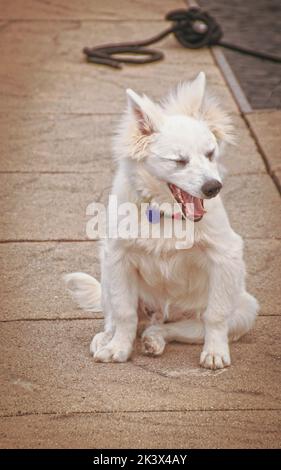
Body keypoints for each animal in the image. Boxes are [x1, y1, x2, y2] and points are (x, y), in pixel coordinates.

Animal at [64, 72, 258, 370]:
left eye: (210, 154)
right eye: (179, 161)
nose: (214, 188)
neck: (167, 214)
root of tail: (160, 314)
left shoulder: (226, 255)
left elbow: (215, 317)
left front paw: (215, 352)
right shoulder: (117, 256)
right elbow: (124, 313)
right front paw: (118, 348)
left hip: (244, 308)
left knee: (177, 327)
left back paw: (154, 339)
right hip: (107, 276)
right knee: (117, 317)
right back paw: (107, 338)